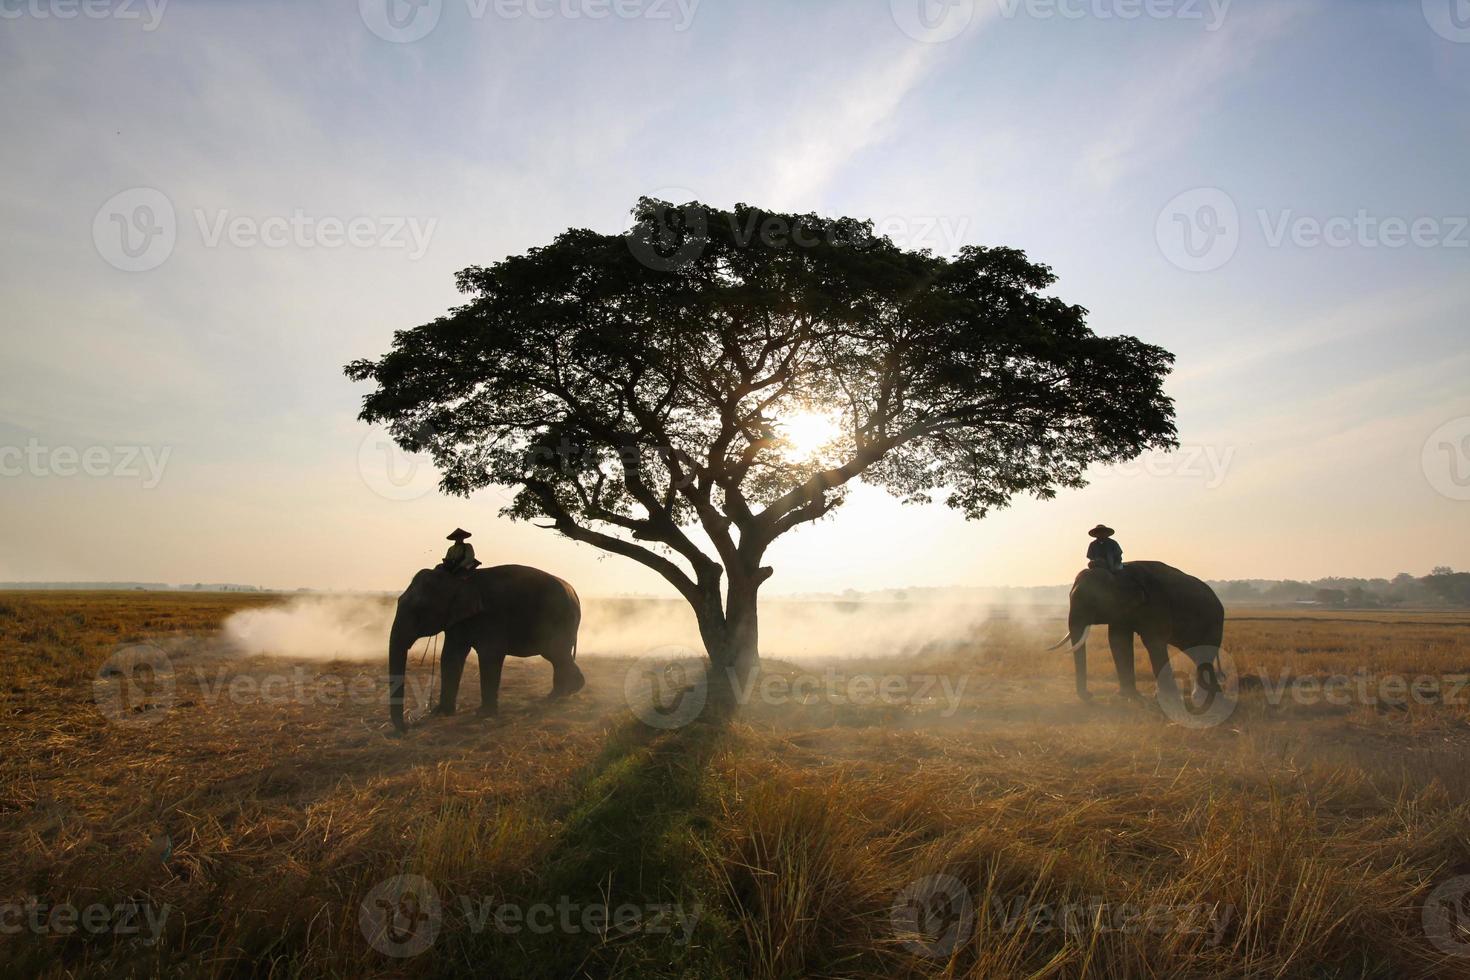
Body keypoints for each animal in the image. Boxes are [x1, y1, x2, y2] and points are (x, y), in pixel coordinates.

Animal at [391, 564, 585, 731]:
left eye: (419, 609)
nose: (406, 728)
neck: (458, 579)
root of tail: (575, 592)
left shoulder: (491, 617)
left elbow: (490, 655)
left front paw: (483, 714)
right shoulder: (458, 621)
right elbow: (451, 656)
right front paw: (440, 713)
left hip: (561, 620)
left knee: (557, 653)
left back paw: (563, 693)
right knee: (557, 656)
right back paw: (562, 693)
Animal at [1052, 558, 1223, 705]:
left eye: (1094, 599)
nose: (1090, 695)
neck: (1119, 574)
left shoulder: (1156, 603)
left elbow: (1153, 641)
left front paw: (1168, 698)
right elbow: (1118, 641)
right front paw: (1126, 697)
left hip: (1213, 621)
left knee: (1205, 652)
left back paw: (1204, 697)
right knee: (1195, 652)